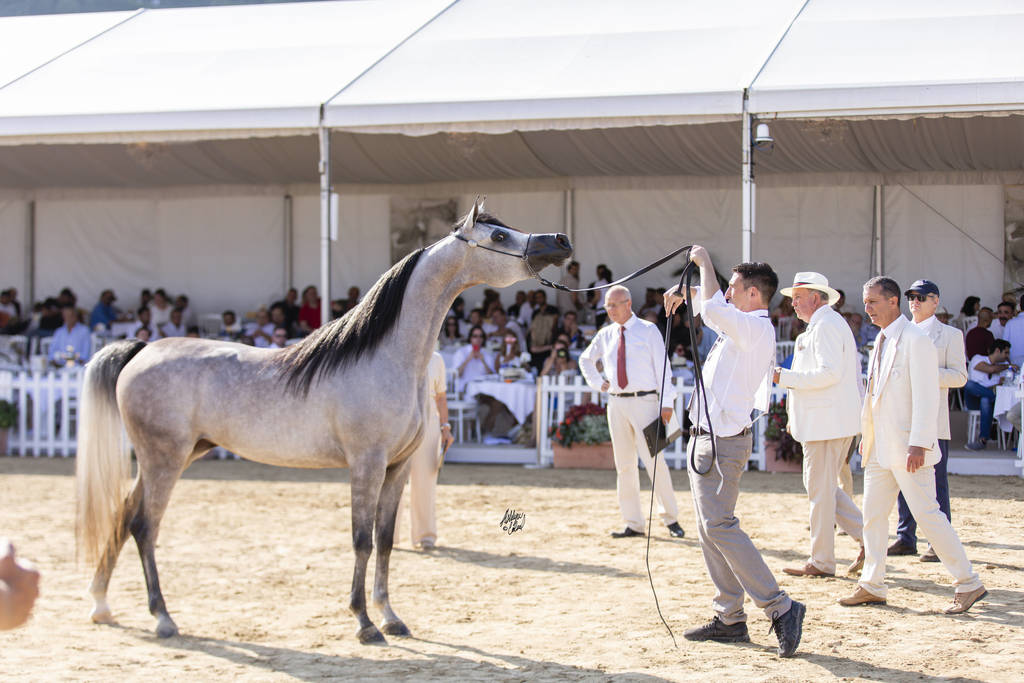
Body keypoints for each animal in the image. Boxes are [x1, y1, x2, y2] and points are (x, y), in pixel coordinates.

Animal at [75, 199, 573, 644]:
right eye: (499, 236)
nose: (560, 241)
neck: (386, 358)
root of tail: (142, 350)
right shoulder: (366, 465)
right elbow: (361, 540)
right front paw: (365, 624)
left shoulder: (397, 469)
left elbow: (386, 540)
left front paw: (391, 617)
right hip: (164, 460)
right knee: (144, 527)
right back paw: (162, 619)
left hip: (170, 457)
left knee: (122, 516)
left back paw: (101, 606)